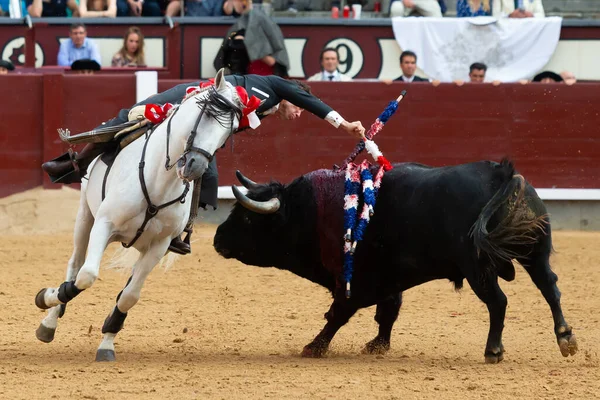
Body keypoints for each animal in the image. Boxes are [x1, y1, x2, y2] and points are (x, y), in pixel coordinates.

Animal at [33, 69, 241, 362]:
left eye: (230, 131)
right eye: (210, 113)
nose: (195, 166)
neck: (159, 181)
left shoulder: (160, 245)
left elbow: (129, 295)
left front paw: (107, 342)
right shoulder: (104, 225)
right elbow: (86, 275)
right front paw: (47, 296)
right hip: (85, 217)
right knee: (75, 264)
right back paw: (49, 321)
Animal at [214, 159, 576, 362]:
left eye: (247, 219)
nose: (217, 239)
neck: (315, 211)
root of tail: (502, 176)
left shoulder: (356, 280)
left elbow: (339, 314)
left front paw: (314, 347)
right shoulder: (391, 278)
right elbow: (388, 312)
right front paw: (377, 345)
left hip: (478, 269)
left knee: (498, 302)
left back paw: (493, 350)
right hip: (535, 253)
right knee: (550, 288)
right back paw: (565, 338)